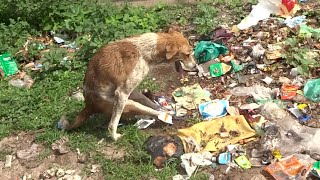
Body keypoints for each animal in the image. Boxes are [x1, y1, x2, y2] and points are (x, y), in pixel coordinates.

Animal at [58, 27, 196, 141]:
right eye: (187, 54)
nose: (195, 66)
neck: (146, 50)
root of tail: (89, 106)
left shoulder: (129, 89)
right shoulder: (122, 92)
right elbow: (113, 123)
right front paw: (114, 137)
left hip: (132, 96)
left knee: (151, 105)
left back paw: (167, 110)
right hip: (128, 102)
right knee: (121, 120)